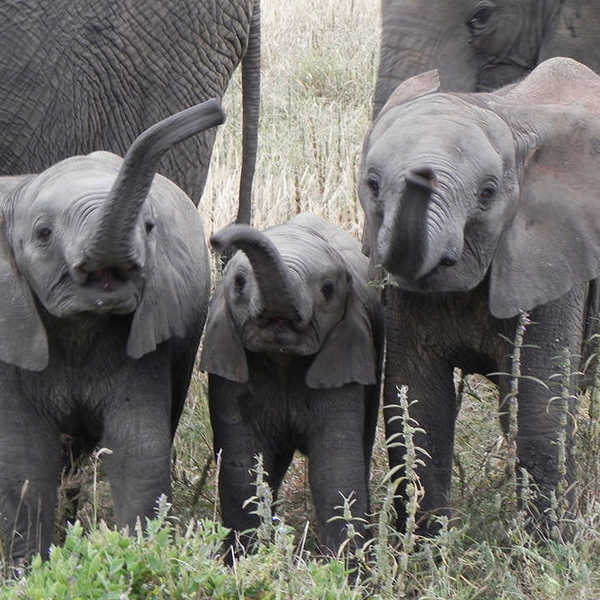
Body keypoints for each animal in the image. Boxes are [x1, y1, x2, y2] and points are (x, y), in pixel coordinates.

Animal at [199, 213, 382, 556]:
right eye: (239, 283)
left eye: (328, 288)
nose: (215, 239)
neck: (282, 356)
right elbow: (244, 464)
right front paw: (243, 560)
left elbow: (335, 468)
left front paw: (348, 568)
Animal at [358, 57, 600, 536]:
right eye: (372, 185)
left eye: (487, 194)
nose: (420, 174)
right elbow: (418, 403)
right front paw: (427, 548)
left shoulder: (553, 255)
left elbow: (540, 406)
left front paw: (546, 547)